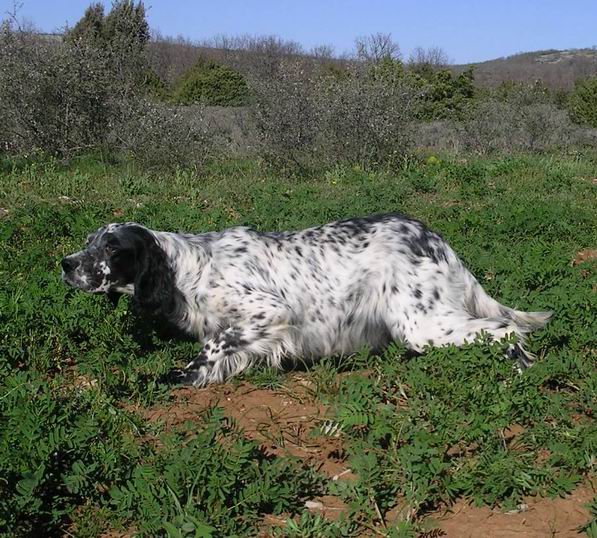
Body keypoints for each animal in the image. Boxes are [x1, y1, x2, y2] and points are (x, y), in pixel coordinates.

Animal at [59, 211, 548, 384]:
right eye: (88, 242)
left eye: (111, 248)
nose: (66, 264)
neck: (186, 269)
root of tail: (432, 237)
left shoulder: (268, 313)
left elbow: (208, 349)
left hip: (424, 323)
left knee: (506, 329)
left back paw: (521, 370)